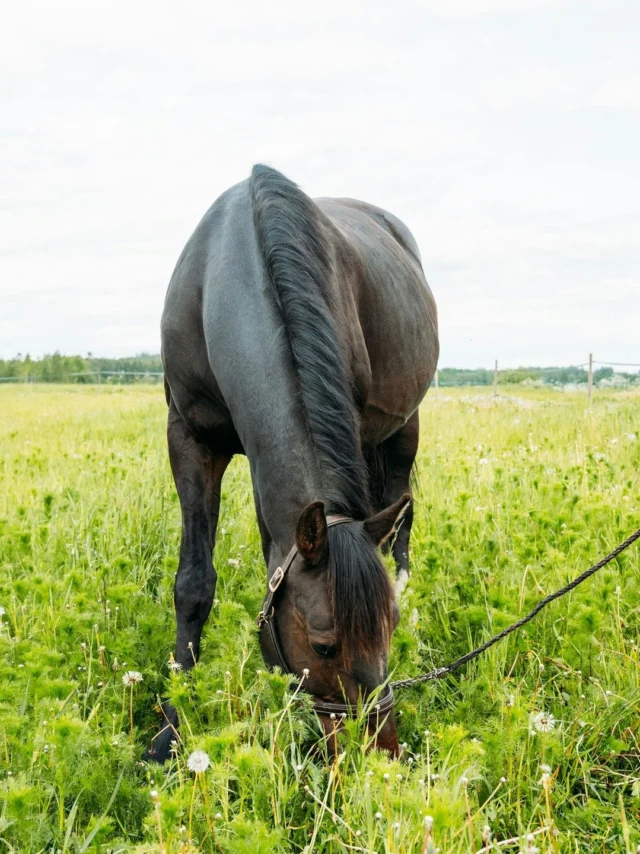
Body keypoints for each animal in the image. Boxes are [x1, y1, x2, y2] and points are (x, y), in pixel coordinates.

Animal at [147, 165, 438, 762]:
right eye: (324, 645)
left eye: (390, 627)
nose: (381, 751)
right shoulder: (188, 438)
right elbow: (194, 584)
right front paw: (169, 729)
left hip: (405, 428)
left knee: (399, 521)